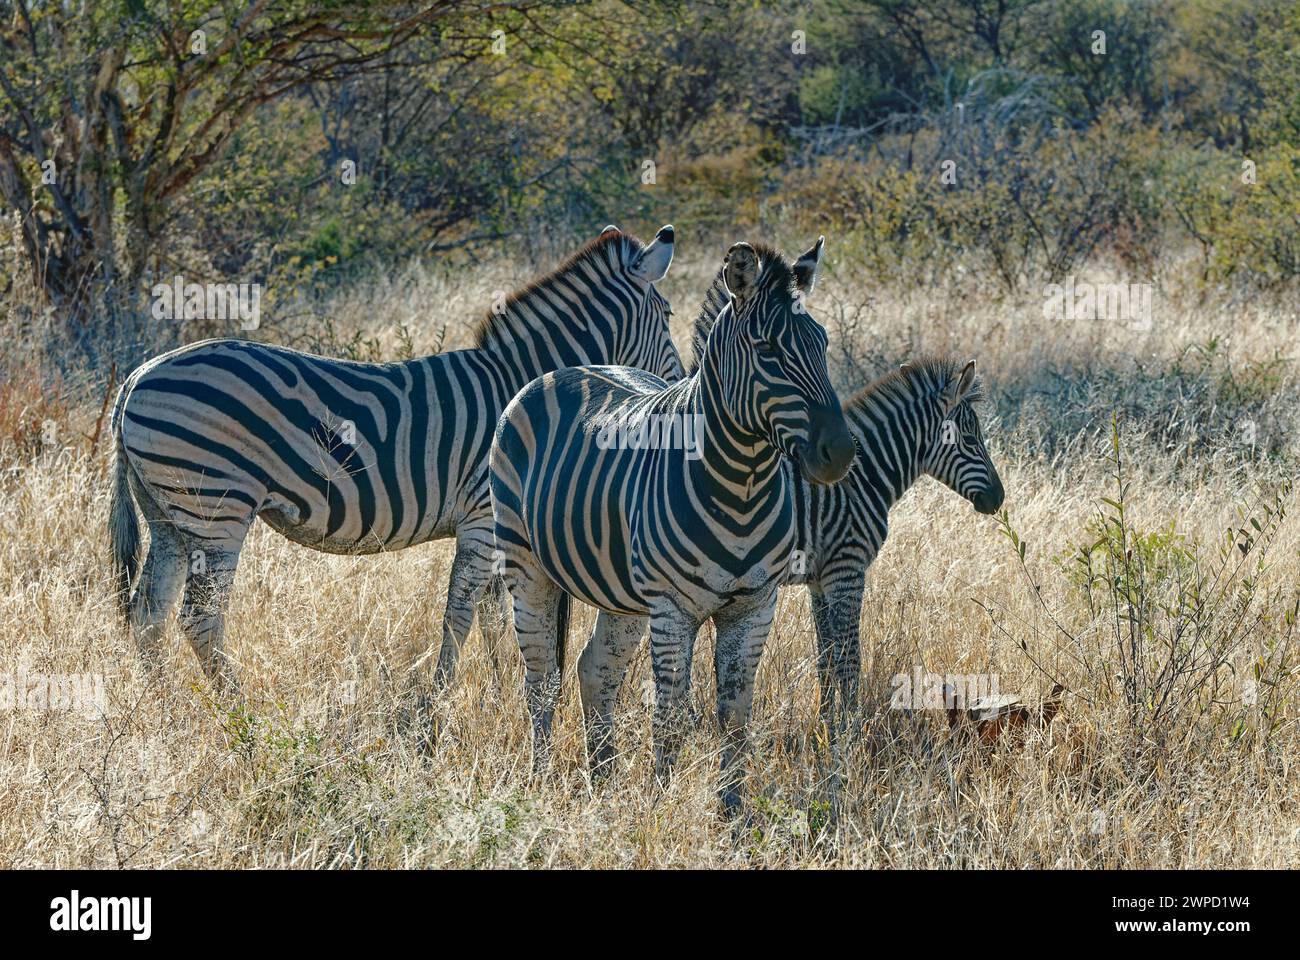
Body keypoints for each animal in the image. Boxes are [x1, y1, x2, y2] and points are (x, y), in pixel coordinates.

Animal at [109, 226, 691, 686]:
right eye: (667, 315)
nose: (680, 389)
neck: (525, 387)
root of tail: (139, 374)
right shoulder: (483, 517)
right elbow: (461, 616)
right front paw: (437, 706)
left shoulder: (496, 527)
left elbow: (493, 619)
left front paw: (498, 690)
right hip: (216, 507)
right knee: (199, 619)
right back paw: (239, 712)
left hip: (168, 515)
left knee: (148, 614)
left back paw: (161, 706)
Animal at [488, 235, 852, 806]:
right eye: (767, 350)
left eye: (823, 343)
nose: (840, 453)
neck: (743, 485)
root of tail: (567, 369)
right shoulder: (674, 608)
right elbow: (672, 718)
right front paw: (660, 806)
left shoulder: (754, 606)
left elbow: (735, 716)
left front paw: (733, 812)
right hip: (525, 563)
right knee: (542, 679)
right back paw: (541, 780)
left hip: (622, 593)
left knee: (595, 670)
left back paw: (603, 780)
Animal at [686, 293, 1008, 723]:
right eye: (970, 439)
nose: (998, 498)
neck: (863, 477)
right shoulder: (847, 568)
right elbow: (849, 658)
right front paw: (851, 727)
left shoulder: (820, 578)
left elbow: (826, 656)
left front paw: (825, 721)